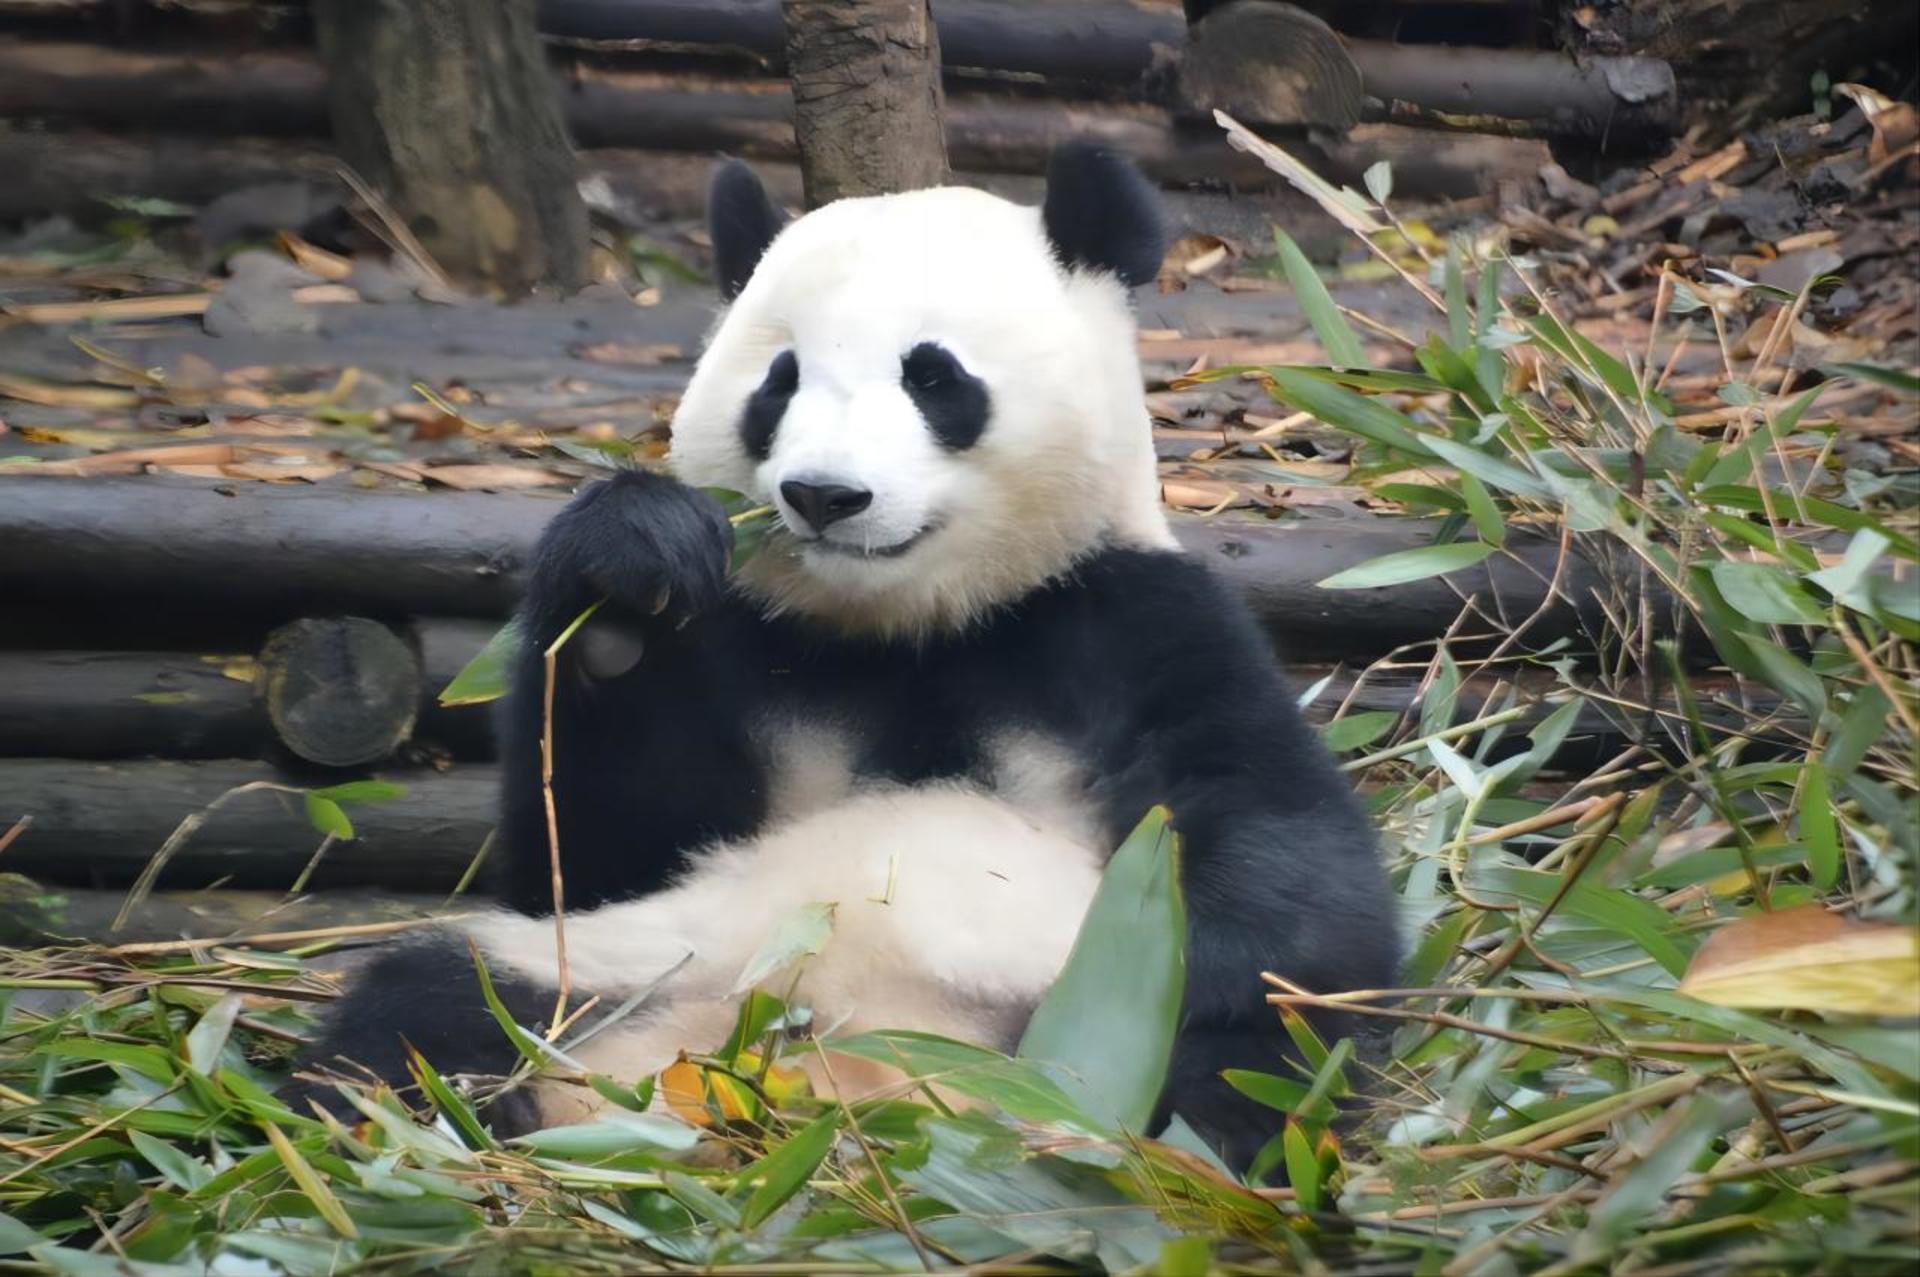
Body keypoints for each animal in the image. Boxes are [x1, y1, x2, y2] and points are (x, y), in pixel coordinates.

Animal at [287, 144, 1399, 1170]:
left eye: (934, 376)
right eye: (777, 383)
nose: (825, 493)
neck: (909, 628)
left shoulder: (1128, 620)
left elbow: (1279, 857)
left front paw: (1156, 961)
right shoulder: (744, 641)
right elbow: (588, 850)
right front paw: (626, 582)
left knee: (1232, 1067)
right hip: (631, 970)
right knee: (427, 1003)